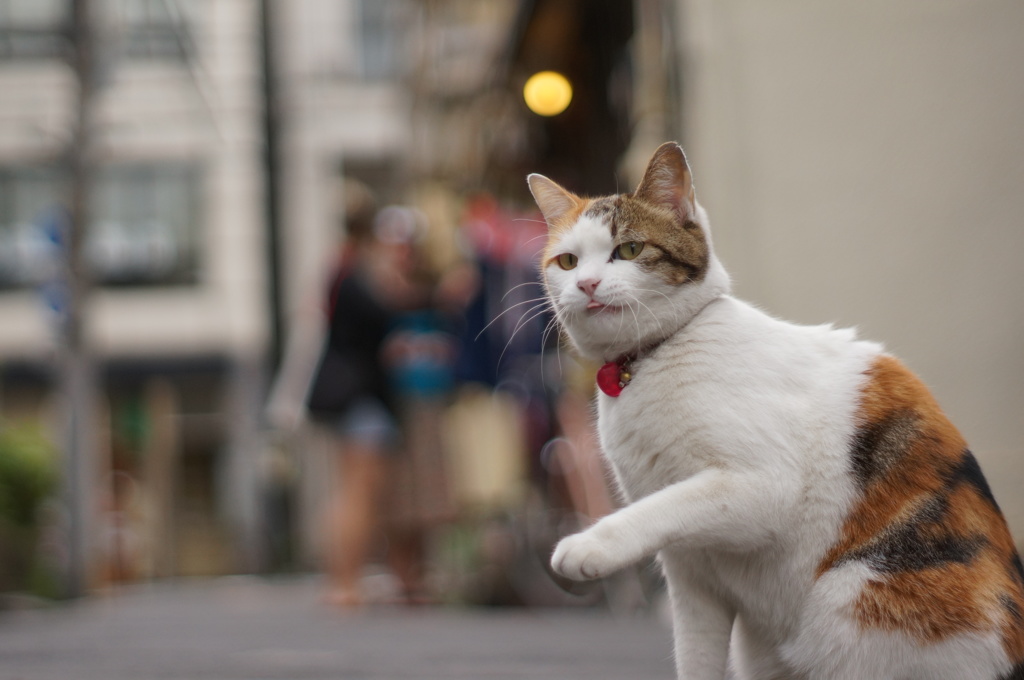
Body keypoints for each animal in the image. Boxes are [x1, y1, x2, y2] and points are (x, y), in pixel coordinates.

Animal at [528, 140, 1024, 675]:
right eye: (568, 262)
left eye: (630, 250)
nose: (587, 285)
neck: (651, 359)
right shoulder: (691, 575)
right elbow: (695, 657)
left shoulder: (764, 486)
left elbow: (669, 501)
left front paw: (589, 545)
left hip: (851, 600)